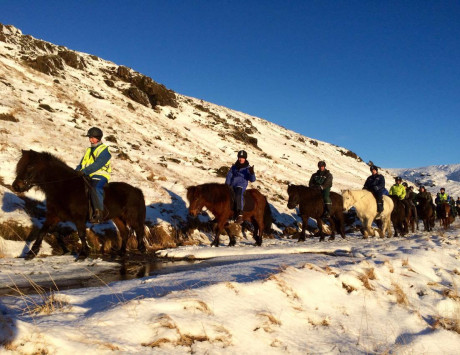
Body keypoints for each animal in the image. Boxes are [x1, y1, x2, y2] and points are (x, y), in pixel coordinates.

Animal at [12, 149, 146, 260]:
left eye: (30, 166)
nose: (16, 186)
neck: (64, 187)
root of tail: (136, 190)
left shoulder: (79, 217)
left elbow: (81, 234)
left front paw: (83, 254)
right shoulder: (53, 215)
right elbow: (42, 231)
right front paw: (31, 253)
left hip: (131, 217)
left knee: (139, 230)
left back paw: (142, 249)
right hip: (117, 217)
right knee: (125, 233)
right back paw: (121, 252)